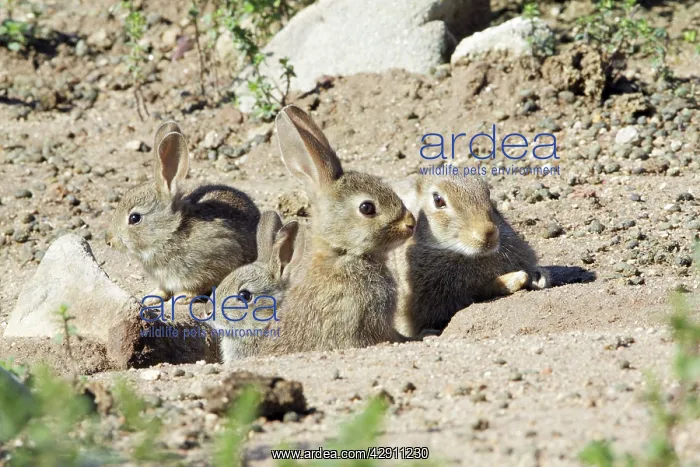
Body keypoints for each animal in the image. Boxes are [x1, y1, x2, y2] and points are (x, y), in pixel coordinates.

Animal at [105, 121, 261, 305]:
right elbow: (163, 289)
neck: (170, 233)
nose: (108, 240)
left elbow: (199, 286)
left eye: (134, 218)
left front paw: (182, 297)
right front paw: (152, 297)